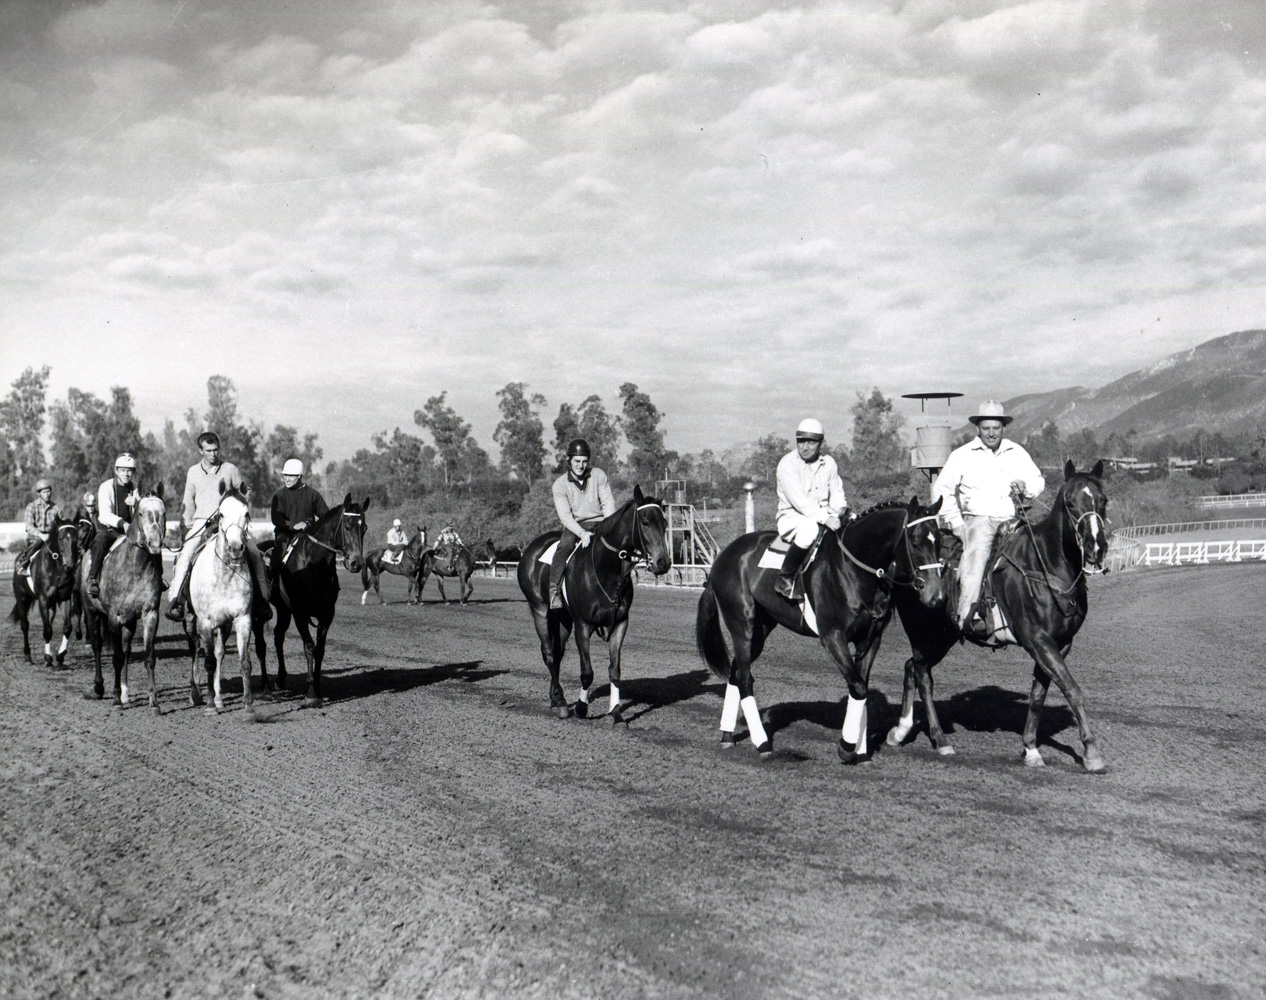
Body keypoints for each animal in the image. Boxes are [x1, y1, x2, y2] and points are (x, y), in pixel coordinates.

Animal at [9, 521, 79, 668]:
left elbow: (67, 627)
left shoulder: (64, 598)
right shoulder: (43, 600)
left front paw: (60, 656)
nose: (70, 565)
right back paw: (27, 656)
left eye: (76, 538)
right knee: (25, 625)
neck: (56, 570)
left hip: (51, 605)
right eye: (60, 538)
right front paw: (48, 658)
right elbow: (47, 630)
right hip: (22, 599)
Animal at [267, 496, 367, 708]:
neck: (313, 565)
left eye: (364, 528)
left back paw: (280, 678)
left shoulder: (327, 613)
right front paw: (311, 692)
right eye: (347, 526)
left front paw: (318, 688)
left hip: (283, 609)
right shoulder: (300, 613)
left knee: (278, 635)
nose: (356, 563)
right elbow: (309, 647)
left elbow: (320, 649)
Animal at [513, 486, 673, 718]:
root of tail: (531, 549)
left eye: (664, 523)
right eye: (645, 522)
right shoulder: (583, 625)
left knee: (558, 653)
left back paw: (555, 698)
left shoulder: (620, 623)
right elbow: (587, 672)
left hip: (563, 618)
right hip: (539, 610)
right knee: (549, 653)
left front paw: (616, 712)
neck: (605, 568)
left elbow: (615, 671)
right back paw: (562, 703)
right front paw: (581, 707)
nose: (663, 563)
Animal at [698, 496, 946, 764]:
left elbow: (861, 686)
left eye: (940, 541)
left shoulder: (870, 640)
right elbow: (858, 688)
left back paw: (726, 736)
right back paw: (762, 743)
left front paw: (861, 751)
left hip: (759, 631)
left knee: (735, 673)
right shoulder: (832, 637)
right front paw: (847, 747)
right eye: (915, 542)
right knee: (744, 679)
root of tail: (725, 555)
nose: (936, 597)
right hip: (742, 626)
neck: (854, 571)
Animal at [881, 463, 1109, 774]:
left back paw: (900, 731)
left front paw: (1031, 749)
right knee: (922, 675)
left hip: (943, 636)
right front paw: (1092, 752)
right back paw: (940, 741)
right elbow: (1072, 689)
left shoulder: (1059, 644)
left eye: (1103, 501)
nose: (1096, 546)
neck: (1045, 565)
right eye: (1070, 503)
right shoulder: (1037, 640)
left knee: (911, 667)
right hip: (920, 630)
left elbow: (1038, 694)